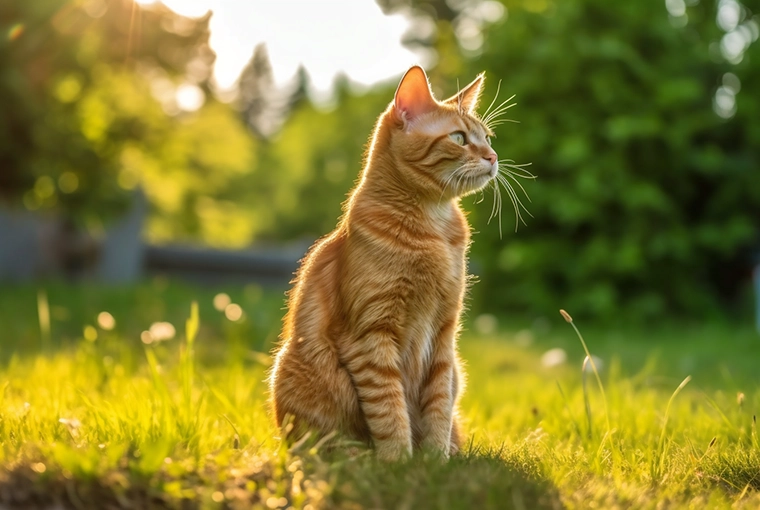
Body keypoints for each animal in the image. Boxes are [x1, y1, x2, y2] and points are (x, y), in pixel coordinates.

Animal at [272, 64, 498, 462]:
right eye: (459, 138)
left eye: (487, 138)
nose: (493, 156)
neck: (431, 231)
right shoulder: (370, 334)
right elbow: (389, 408)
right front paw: (398, 463)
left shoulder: (444, 335)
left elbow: (438, 406)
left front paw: (436, 461)